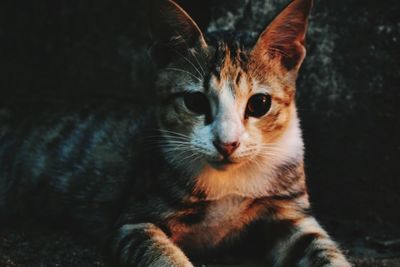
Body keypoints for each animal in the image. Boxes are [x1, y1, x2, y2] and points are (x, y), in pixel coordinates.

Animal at [0, 0, 350, 266]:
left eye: (259, 103)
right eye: (195, 101)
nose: (227, 143)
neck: (229, 184)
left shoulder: (290, 212)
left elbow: (323, 248)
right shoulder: (135, 220)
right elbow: (162, 255)